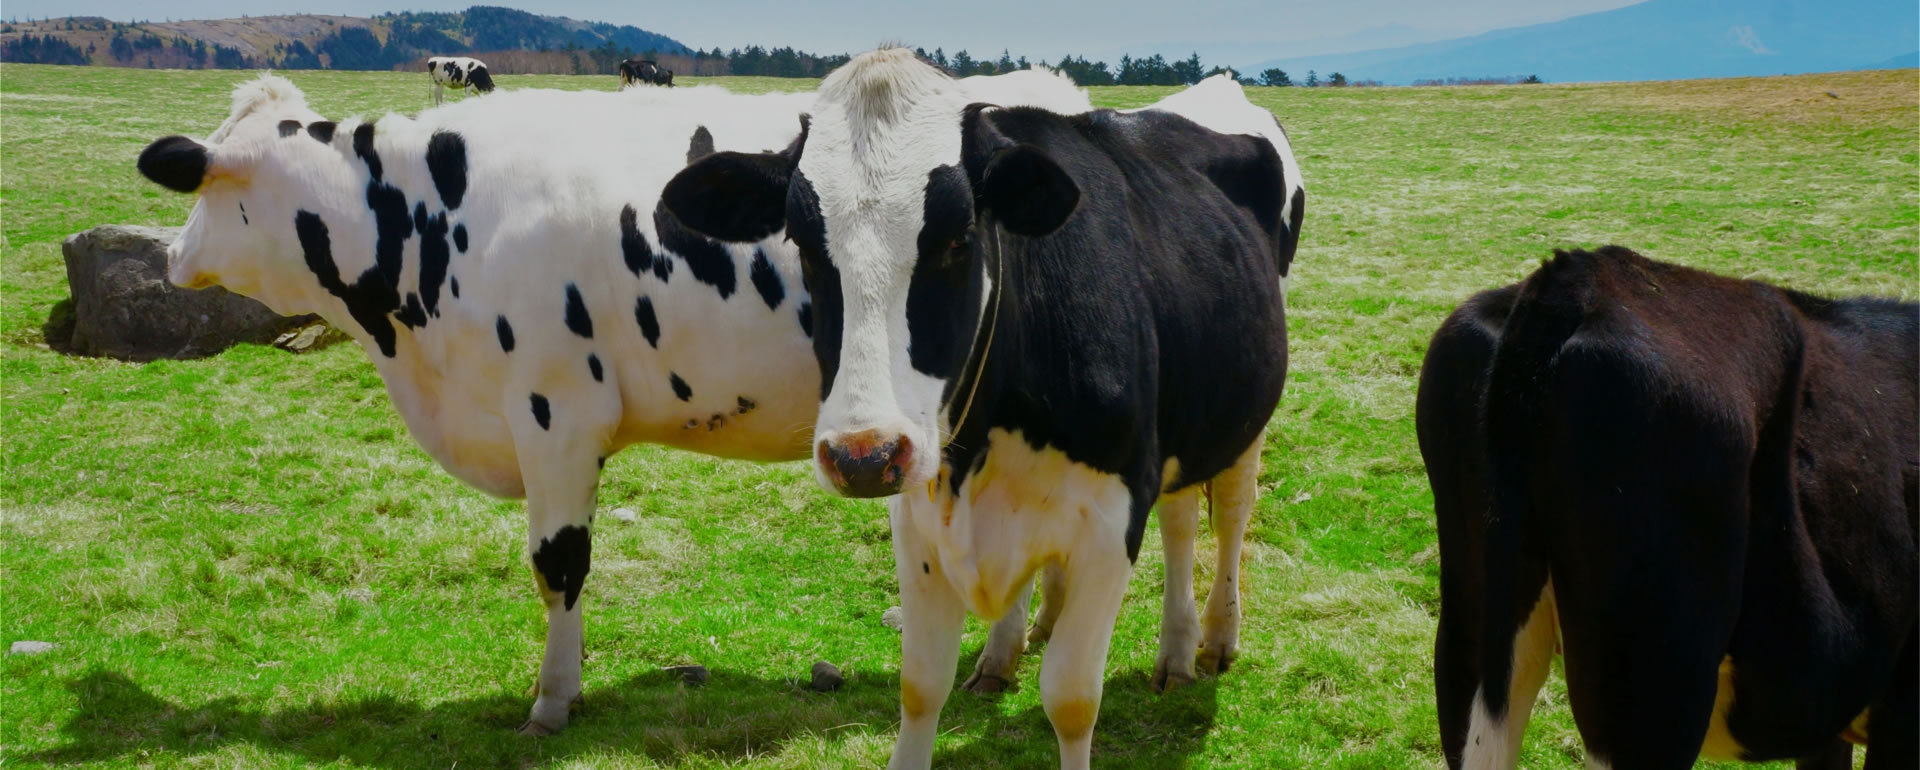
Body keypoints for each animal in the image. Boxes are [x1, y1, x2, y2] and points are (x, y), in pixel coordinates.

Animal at [660, 49, 1305, 768]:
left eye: (960, 239)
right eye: (801, 243)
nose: (864, 456)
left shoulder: (1111, 521)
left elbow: (1072, 700)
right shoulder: (917, 517)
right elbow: (920, 685)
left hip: (1243, 413)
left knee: (1227, 512)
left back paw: (1212, 637)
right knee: (1181, 514)